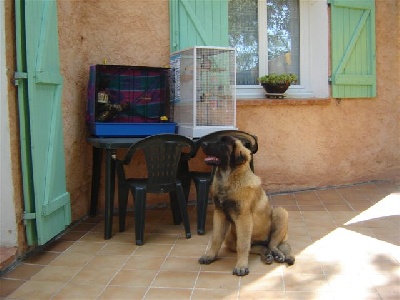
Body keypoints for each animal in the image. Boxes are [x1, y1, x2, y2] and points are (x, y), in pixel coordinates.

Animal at [198, 136, 294, 276]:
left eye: (222, 143)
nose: (203, 144)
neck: (228, 178)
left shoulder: (243, 217)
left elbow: (242, 245)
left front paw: (241, 266)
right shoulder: (219, 213)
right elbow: (216, 238)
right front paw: (210, 256)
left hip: (280, 212)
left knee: (272, 244)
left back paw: (277, 254)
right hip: (230, 239)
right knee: (259, 247)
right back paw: (267, 255)